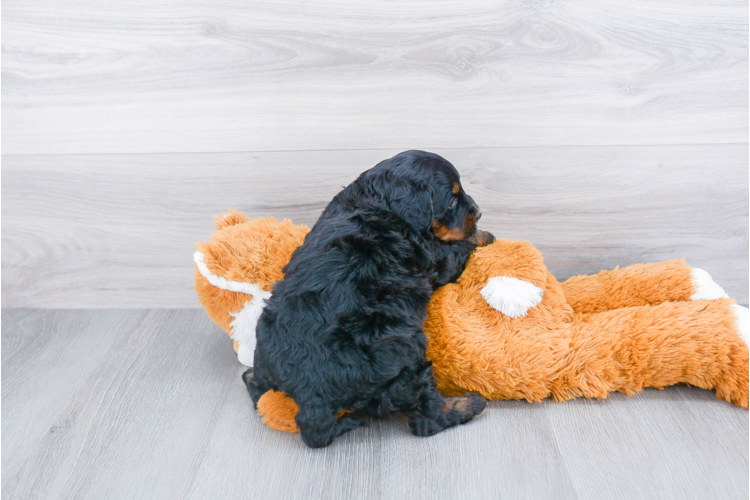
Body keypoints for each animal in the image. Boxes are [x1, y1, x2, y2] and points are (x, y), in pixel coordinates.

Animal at [244, 150, 496, 448]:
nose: (478, 212)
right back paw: (469, 405)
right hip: (405, 358)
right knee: (425, 416)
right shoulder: (435, 259)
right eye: (453, 199)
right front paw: (484, 234)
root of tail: (310, 396)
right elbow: (459, 247)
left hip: (264, 345)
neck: (379, 204)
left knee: (254, 383)